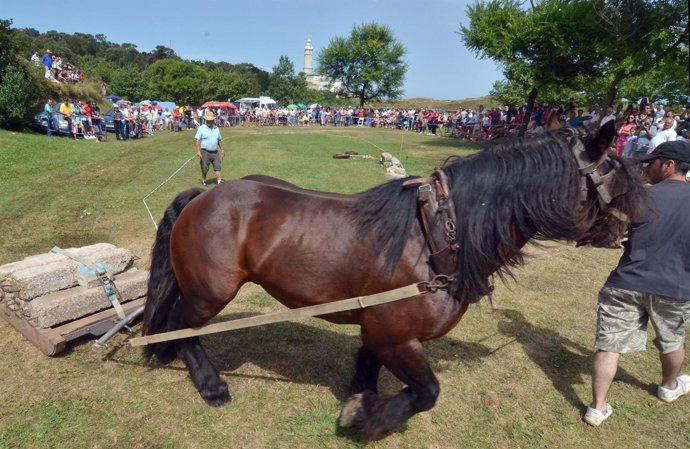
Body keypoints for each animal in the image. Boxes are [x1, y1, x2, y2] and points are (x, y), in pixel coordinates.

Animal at [142, 121, 648, 440]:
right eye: (618, 180)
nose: (632, 231)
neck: (439, 236)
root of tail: (200, 198)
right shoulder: (396, 335)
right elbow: (426, 392)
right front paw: (371, 421)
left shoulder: (378, 326)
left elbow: (367, 364)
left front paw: (361, 402)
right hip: (210, 293)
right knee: (184, 327)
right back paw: (209, 384)